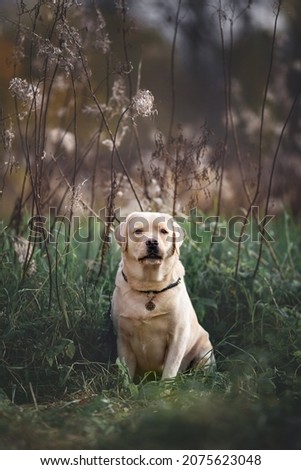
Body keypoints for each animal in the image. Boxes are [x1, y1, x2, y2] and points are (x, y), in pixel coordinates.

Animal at [110, 211, 213, 380]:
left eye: (164, 231)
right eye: (138, 231)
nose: (152, 242)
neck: (150, 288)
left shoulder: (178, 337)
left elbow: (169, 371)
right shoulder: (123, 338)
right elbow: (125, 373)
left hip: (204, 351)